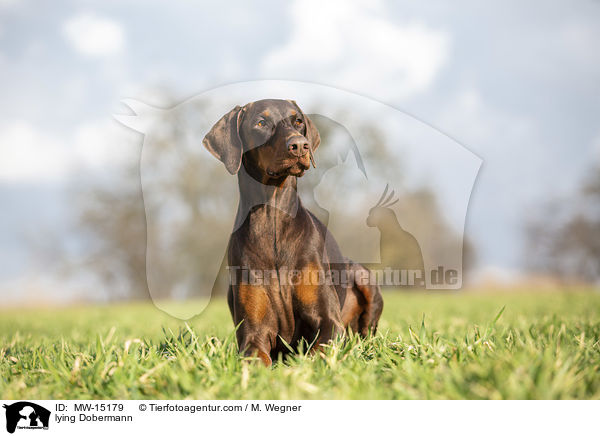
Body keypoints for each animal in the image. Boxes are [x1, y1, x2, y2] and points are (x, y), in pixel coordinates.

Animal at [204, 99, 382, 364]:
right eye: (261, 122)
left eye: (297, 120)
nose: (299, 145)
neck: (273, 220)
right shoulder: (253, 332)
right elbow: (256, 356)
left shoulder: (329, 322)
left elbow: (316, 353)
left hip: (363, 277)